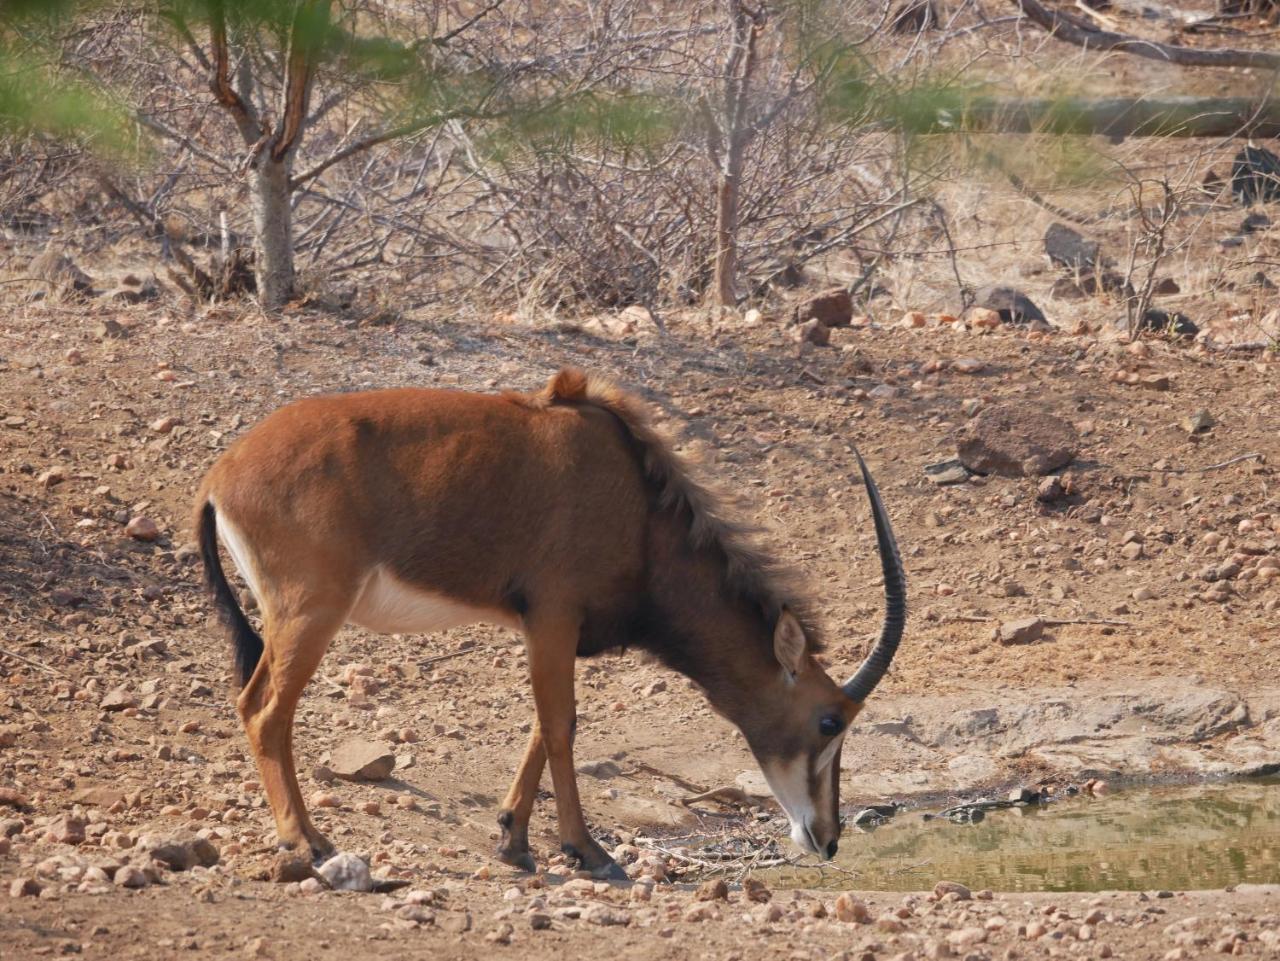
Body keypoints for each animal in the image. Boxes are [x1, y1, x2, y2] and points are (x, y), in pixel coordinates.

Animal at [194, 368, 906, 880]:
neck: (640, 512)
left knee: (259, 706)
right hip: (310, 613)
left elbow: (542, 725)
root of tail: (219, 476)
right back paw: (306, 841)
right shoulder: (556, 616)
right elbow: (563, 726)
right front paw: (587, 852)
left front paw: (514, 842)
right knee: (264, 710)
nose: (828, 839)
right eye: (829, 722)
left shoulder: (547, 629)